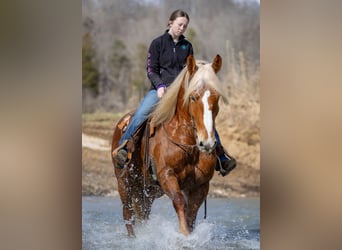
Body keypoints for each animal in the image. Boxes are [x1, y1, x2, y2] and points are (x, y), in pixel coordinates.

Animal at [111, 54, 227, 236]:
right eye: (193, 97)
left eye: (217, 97)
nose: (207, 142)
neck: (187, 143)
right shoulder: (167, 175)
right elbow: (179, 202)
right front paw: (183, 234)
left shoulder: (200, 185)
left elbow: (191, 213)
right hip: (124, 183)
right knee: (128, 213)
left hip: (147, 191)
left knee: (142, 213)